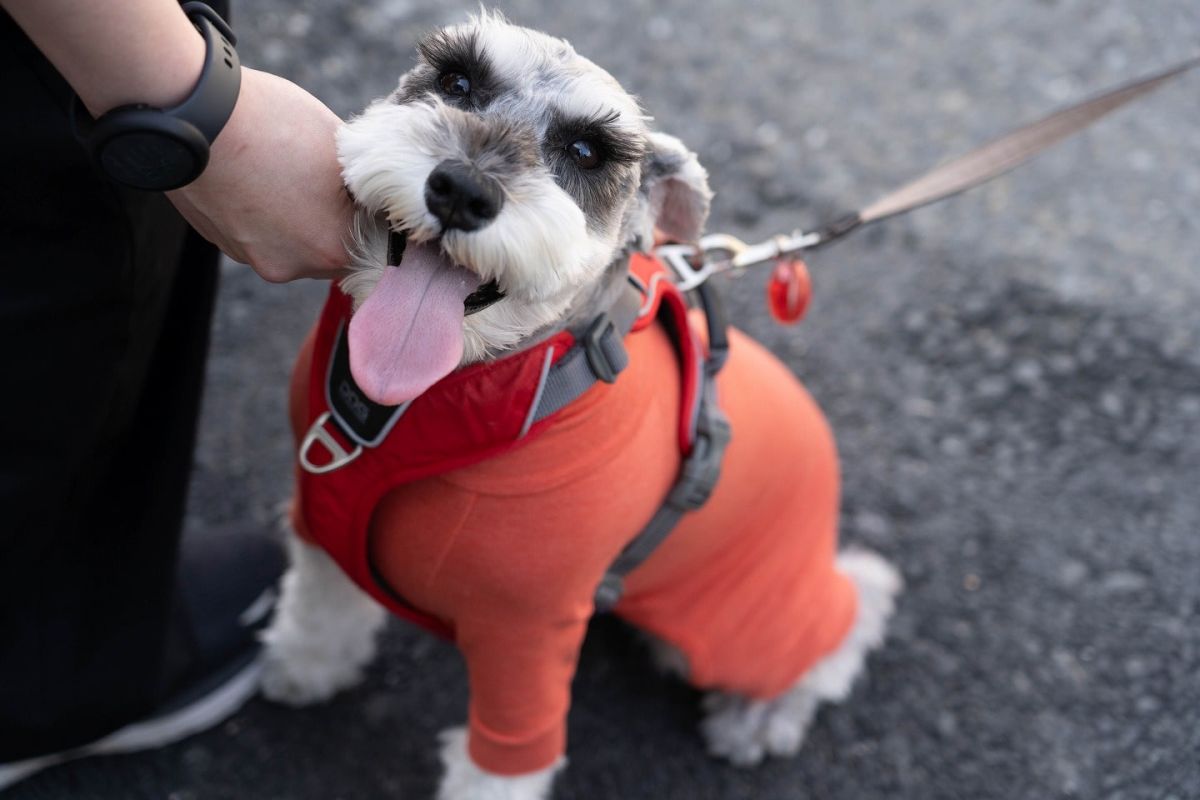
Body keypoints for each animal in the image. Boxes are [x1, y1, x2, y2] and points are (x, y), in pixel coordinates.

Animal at [260, 10, 902, 800]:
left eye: (588, 151)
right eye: (457, 80)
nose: (462, 189)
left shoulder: (527, 636)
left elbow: (501, 766)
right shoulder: (321, 511)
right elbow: (319, 602)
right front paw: (303, 665)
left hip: (744, 622)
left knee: (847, 619)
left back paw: (761, 715)